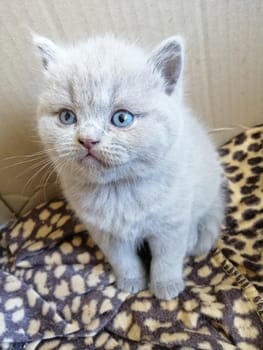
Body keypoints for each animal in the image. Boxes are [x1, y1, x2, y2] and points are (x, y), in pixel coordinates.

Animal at [34, 34, 226, 300]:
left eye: (122, 118)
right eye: (67, 117)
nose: (87, 140)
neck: (118, 191)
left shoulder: (170, 224)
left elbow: (166, 258)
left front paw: (165, 287)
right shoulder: (105, 234)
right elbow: (123, 260)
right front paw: (131, 282)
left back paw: (190, 240)